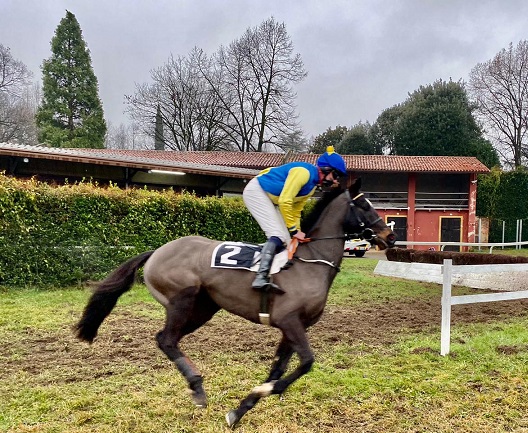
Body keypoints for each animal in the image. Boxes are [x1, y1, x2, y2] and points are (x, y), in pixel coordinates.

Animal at [75, 177, 396, 426]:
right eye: (364, 205)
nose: (390, 236)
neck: (310, 262)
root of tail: (157, 251)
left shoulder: (292, 328)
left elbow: (278, 370)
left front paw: (243, 408)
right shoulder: (289, 321)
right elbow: (305, 363)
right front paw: (260, 393)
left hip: (203, 309)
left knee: (167, 339)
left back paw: (196, 387)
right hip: (182, 300)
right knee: (166, 339)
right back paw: (197, 388)